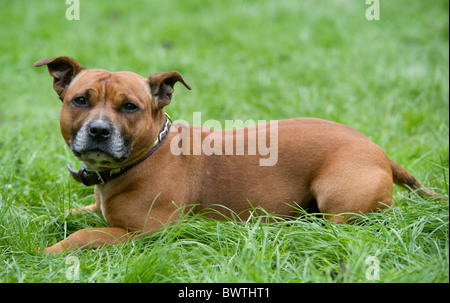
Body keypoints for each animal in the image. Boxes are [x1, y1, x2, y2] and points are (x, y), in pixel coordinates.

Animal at [34, 56, 440, 254]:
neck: (148, 153)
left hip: (338, 199)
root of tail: (378, 150)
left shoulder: (147, 233)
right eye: (80, 100)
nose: (99, 130)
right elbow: (70, 215)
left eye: (130, 107)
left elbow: (86, 233)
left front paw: (49, 250)